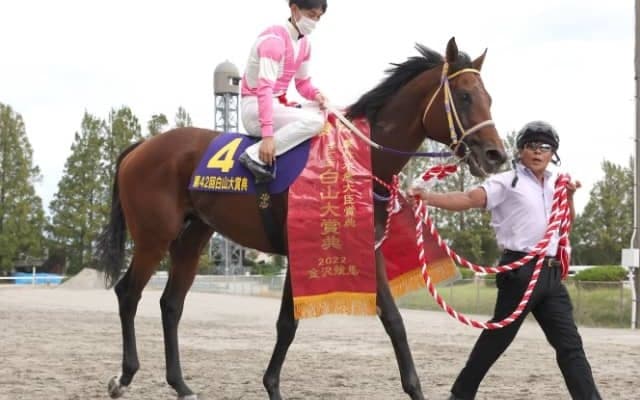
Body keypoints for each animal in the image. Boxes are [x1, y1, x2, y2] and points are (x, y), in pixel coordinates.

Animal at [99, 37, 507, 400]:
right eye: (465, 96)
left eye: (489, 97)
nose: (495, 155)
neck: (356, 160)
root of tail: (143, 146)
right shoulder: (302, 251)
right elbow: (291, 323)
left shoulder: (364, 248)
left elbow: (390, 321)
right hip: (153, 237)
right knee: (128, 293)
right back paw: (124, 377)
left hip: (192, 238)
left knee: (171, 304)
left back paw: (181, 385)